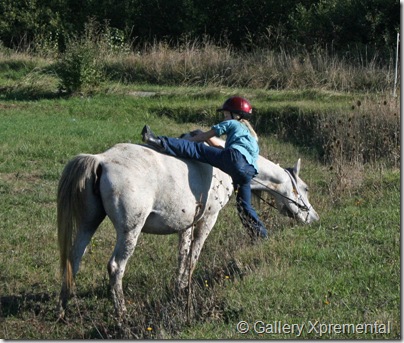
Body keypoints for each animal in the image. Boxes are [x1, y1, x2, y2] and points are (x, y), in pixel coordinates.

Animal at [56, 139, 318, 320]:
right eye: (304, 188)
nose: (314, 219)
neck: (225, 164)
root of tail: (101, 160)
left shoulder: (187, 225)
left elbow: (183, 255)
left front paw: (179, 288)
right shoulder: (208, 219)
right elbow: (194, 255)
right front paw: (184, 288)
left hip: (88, 224)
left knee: (73, 260)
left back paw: (62, 308)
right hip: (130, 231)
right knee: (115, 267)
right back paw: (121, 313)